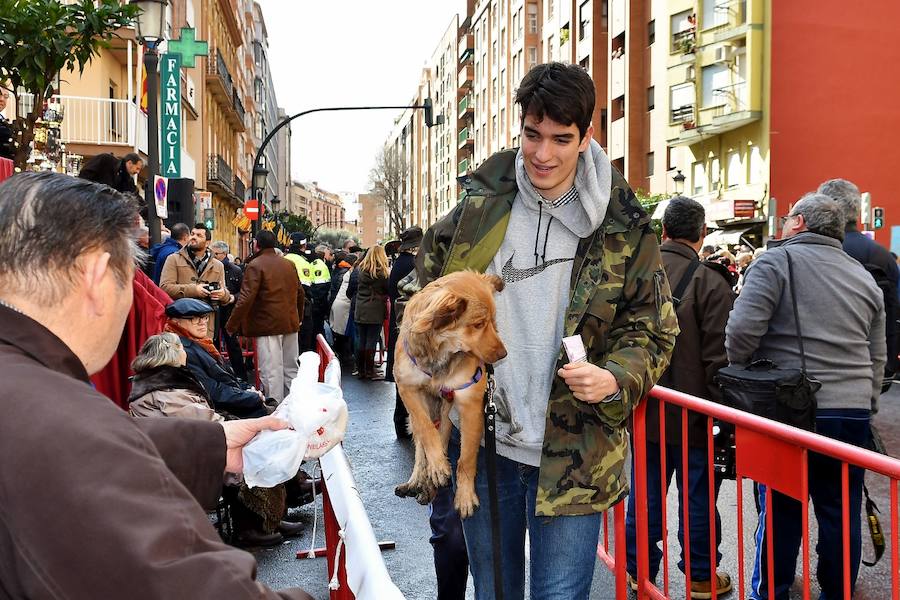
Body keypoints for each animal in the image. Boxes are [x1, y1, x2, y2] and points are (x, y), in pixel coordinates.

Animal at [394, 270, 506, 516]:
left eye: (494, 322)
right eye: (478, 324)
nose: (504, 355)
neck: (440, 356)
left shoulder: (469, 402)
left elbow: (466, 459)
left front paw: (464, 496)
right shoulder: (407, 388)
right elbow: (426, 431)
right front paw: (437, 466)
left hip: (446, 411)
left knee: (442, 433)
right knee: (421, 441)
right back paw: (419, 478)